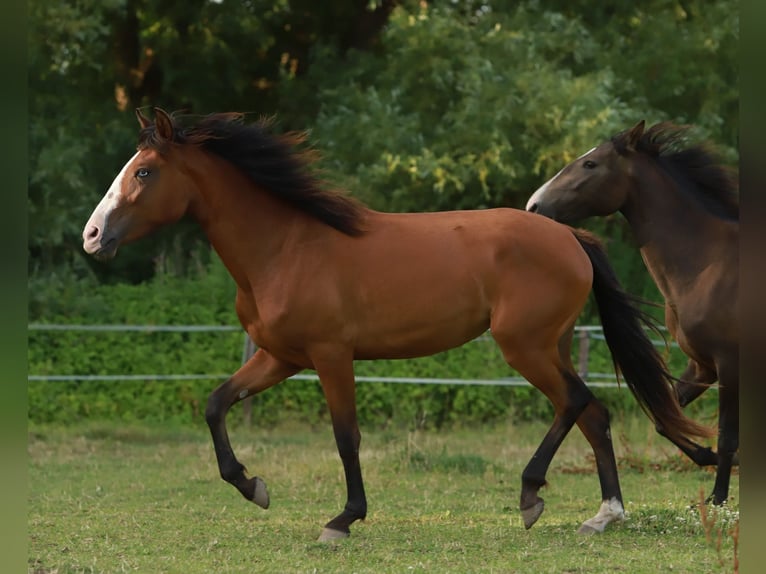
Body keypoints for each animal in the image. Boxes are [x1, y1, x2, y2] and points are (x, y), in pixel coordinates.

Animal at [82, 109, 711, 540]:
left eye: (144, 172)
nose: (92, 236)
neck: (286, 248)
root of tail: (569, 236)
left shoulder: (331, 356)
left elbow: (346, 437)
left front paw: (342, 520)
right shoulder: (279, 357)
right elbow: (216, 405)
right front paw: (253, 486)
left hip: (524, 347)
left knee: (577, 402)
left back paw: (532, 495)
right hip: (548, 344)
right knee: (593, 413)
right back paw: (605, 514)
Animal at [526, 120, 738, 505]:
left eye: (590, 163)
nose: (534, 205)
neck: (710, 265)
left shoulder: (729, 363)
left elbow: (727, 435)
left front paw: (717, 498)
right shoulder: (703, 365)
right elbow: (664, 418)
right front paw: (708, 458)